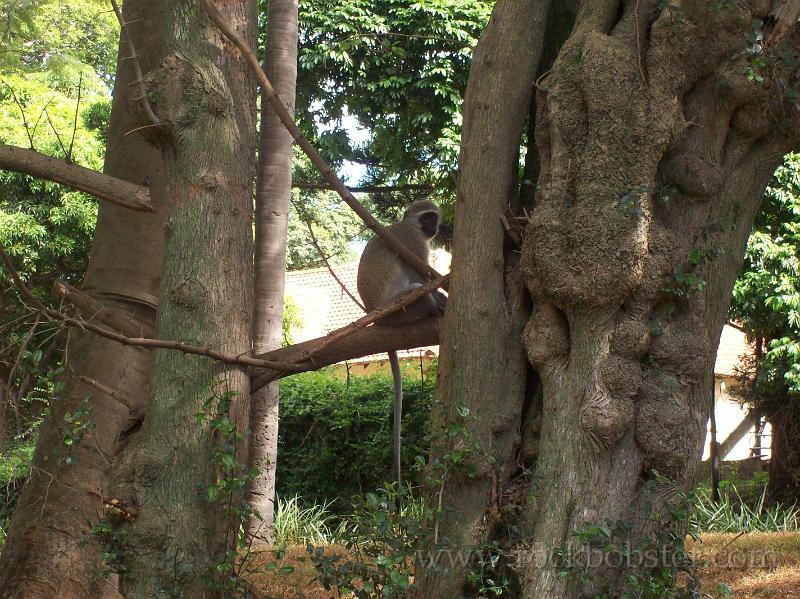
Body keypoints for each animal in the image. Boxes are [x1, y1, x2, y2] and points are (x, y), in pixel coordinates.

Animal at [358, 199, 446, 486]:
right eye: (426, 217)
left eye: (434, 217)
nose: (433, 227)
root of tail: (374, 316)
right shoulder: (413, 240)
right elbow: (423, 273)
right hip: (397, 308)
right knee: (416, 287)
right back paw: (434, 306)